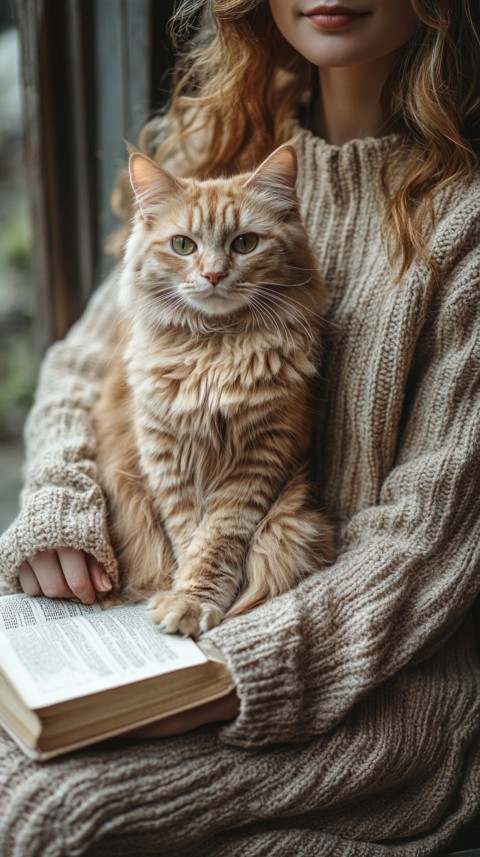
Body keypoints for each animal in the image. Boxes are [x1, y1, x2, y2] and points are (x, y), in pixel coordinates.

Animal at [93, 142, 334, 636]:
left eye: (245, 243)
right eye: (183, 245)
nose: (214, 275)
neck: (214, 349)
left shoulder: (259, 458)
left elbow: (216, 539)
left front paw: (193, 599)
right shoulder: (167, 457)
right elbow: (190, 535)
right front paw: (184, 594)